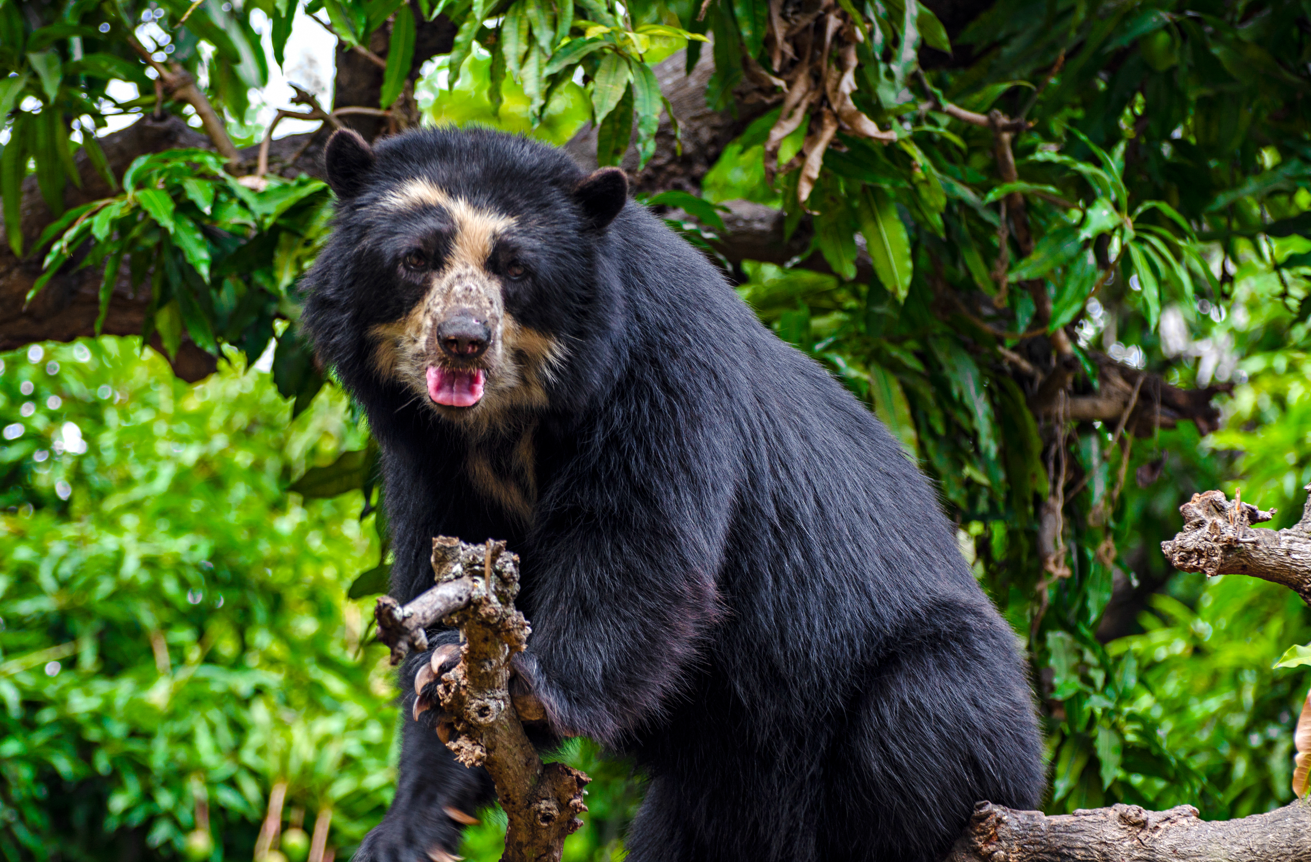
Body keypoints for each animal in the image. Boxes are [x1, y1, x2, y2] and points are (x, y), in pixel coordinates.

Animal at [304, 127, 1043, 859]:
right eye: (416, 259)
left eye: (515, 269)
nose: (463, 340)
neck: (506, 425)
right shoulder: (428, 459)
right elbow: (446, 573)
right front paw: (415, 800)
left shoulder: (659, 368)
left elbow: (637, 542)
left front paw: (530, 686)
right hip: (708, 795)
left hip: (943, 698)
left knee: (916, 717)